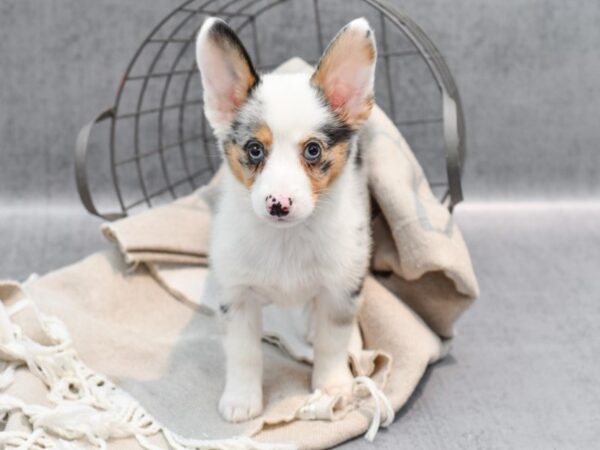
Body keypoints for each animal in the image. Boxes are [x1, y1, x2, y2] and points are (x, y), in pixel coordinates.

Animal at [196, 14, 376, 422]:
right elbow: (244, 354)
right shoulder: (237, 296)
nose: (278, 203)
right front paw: (242, 399)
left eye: (312, 150)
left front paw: (332, 387)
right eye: (254, 149)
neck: (287, 239)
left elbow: (332, 344)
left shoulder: (340, 288)